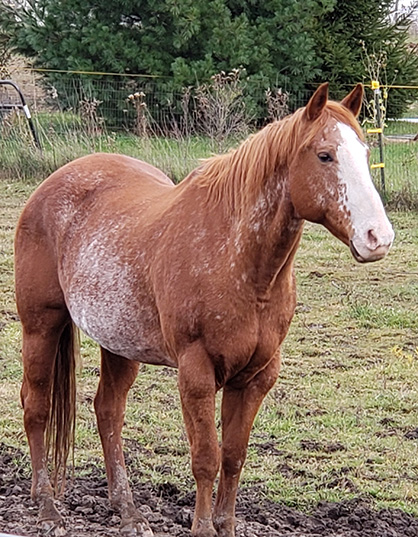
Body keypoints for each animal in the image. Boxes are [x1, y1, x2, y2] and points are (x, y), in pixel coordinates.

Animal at [14, 81, 394, 532]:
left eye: (366, 154)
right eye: (324, 155)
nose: (378, 237)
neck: (239, 263)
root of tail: (51, 185)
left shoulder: (255, 378)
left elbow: (233, 457)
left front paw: (225, 526)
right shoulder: (196, 373)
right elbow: (206, 458)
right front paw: (201, 527)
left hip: (119, 342)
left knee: (108, 412)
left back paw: (128, 511)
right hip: (41, 325)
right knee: (36, 407)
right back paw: (47, 507)